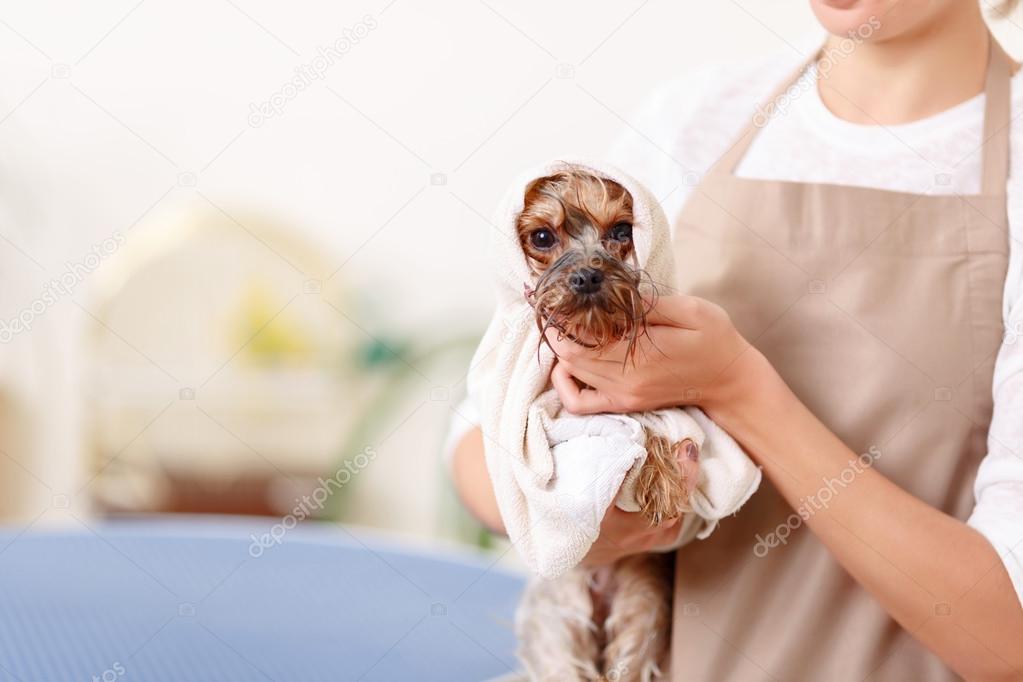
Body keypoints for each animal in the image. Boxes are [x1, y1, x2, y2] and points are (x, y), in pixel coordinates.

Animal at [466, 160, 761, 580]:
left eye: (622, 231)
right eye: (542, 236)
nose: (588, 275)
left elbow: (646, 421)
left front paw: (661, 480)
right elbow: (630, 427)